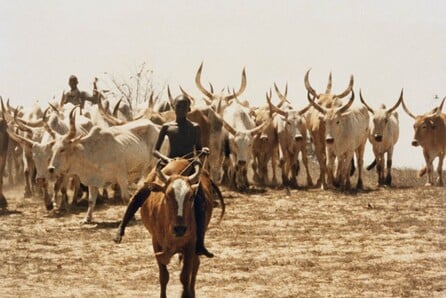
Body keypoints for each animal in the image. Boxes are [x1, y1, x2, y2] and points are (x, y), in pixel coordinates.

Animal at [140, 159, 222, 296]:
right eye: (167, 195)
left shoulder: (190, 245)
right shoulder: (156, 243)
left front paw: (186, 294)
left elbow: (184, 276)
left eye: (190, 196)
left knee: (195, 265)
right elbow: (164, 276)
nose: (180, 229)